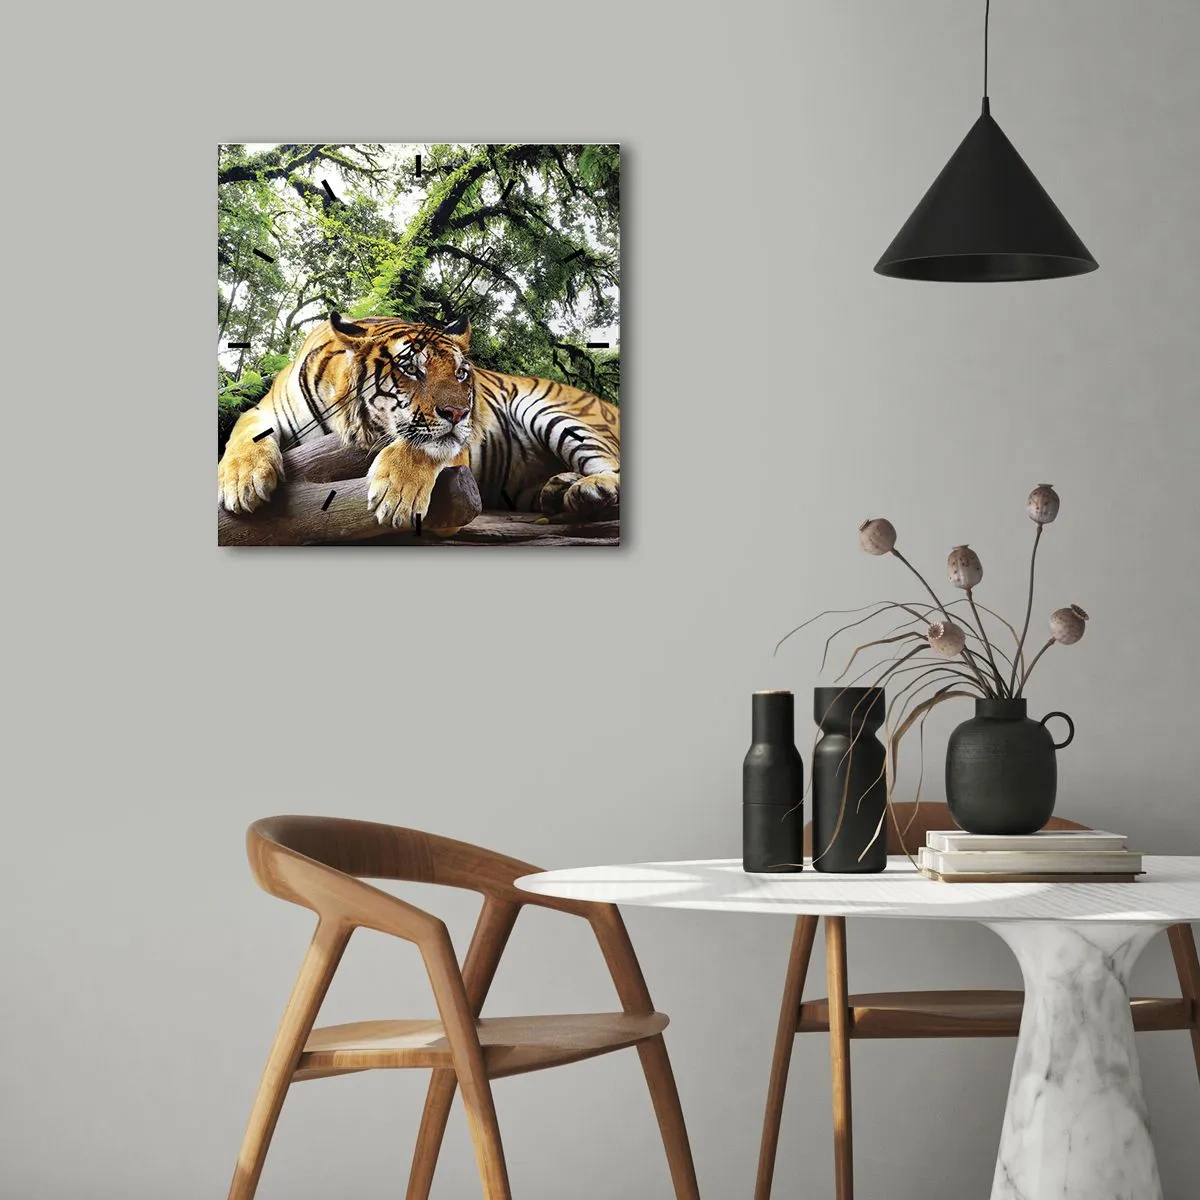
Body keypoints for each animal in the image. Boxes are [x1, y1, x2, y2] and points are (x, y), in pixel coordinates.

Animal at [217, 313, 620, 530]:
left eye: (460, 373)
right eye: (411, 369)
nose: (459, 413)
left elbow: (423, 447)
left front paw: (397, 497)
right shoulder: (264, 409)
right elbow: (244, 430)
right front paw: (242, 482)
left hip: (550, 410)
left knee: (613, 468)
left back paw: (589, 489)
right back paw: (557, 488)